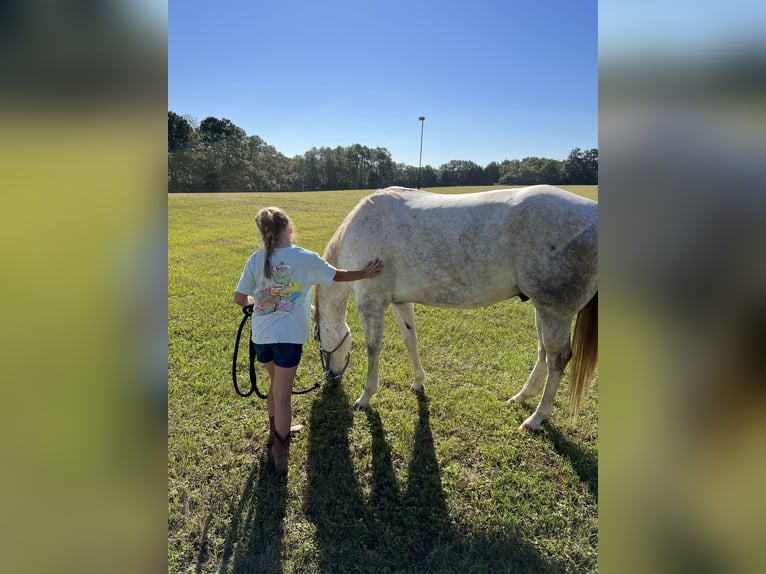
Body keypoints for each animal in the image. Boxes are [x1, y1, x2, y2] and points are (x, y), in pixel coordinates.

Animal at [312, 185, 598, 430]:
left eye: (317, 337)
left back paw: (536, 418)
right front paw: (418, 382)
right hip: (543, 309)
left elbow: (373, 349)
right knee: (543, 354)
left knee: (558, 359)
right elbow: (410, 340)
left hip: (555, 312)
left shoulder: (371, 302)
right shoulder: (400, 301)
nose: (331, 378)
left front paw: (365, 397)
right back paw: (521, 397)